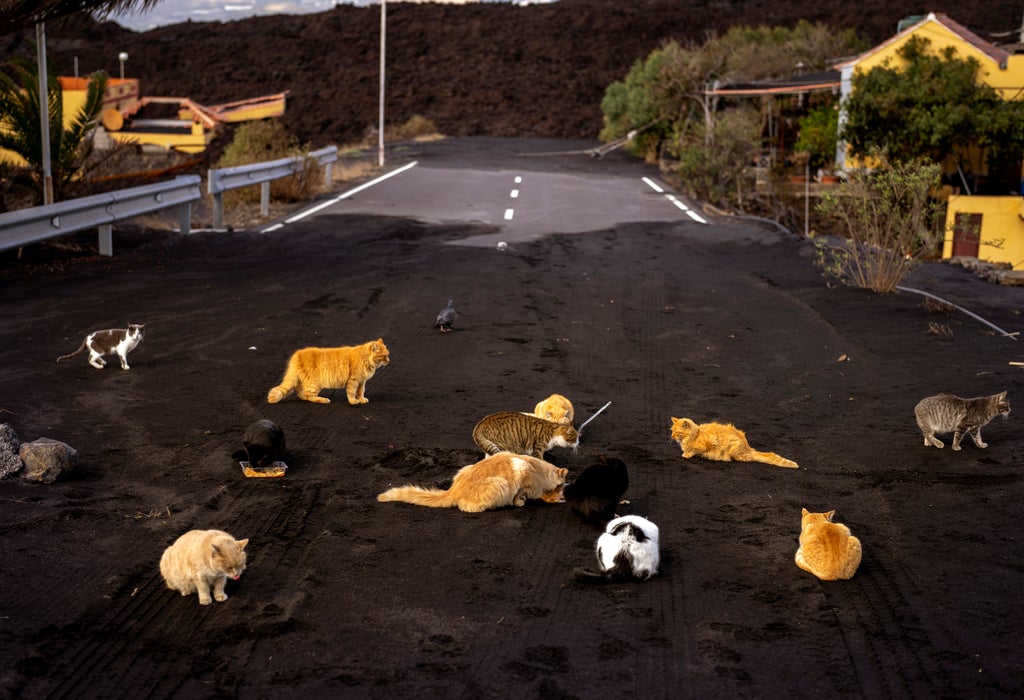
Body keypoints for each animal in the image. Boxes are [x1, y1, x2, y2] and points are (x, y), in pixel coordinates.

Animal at [377, 451, 568, 513]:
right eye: (560, 488)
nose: (559, 497)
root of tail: (453, 489)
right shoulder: (521, 472)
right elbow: (518, 495)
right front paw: (520, 502)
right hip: (500, 484)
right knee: (465, 506)